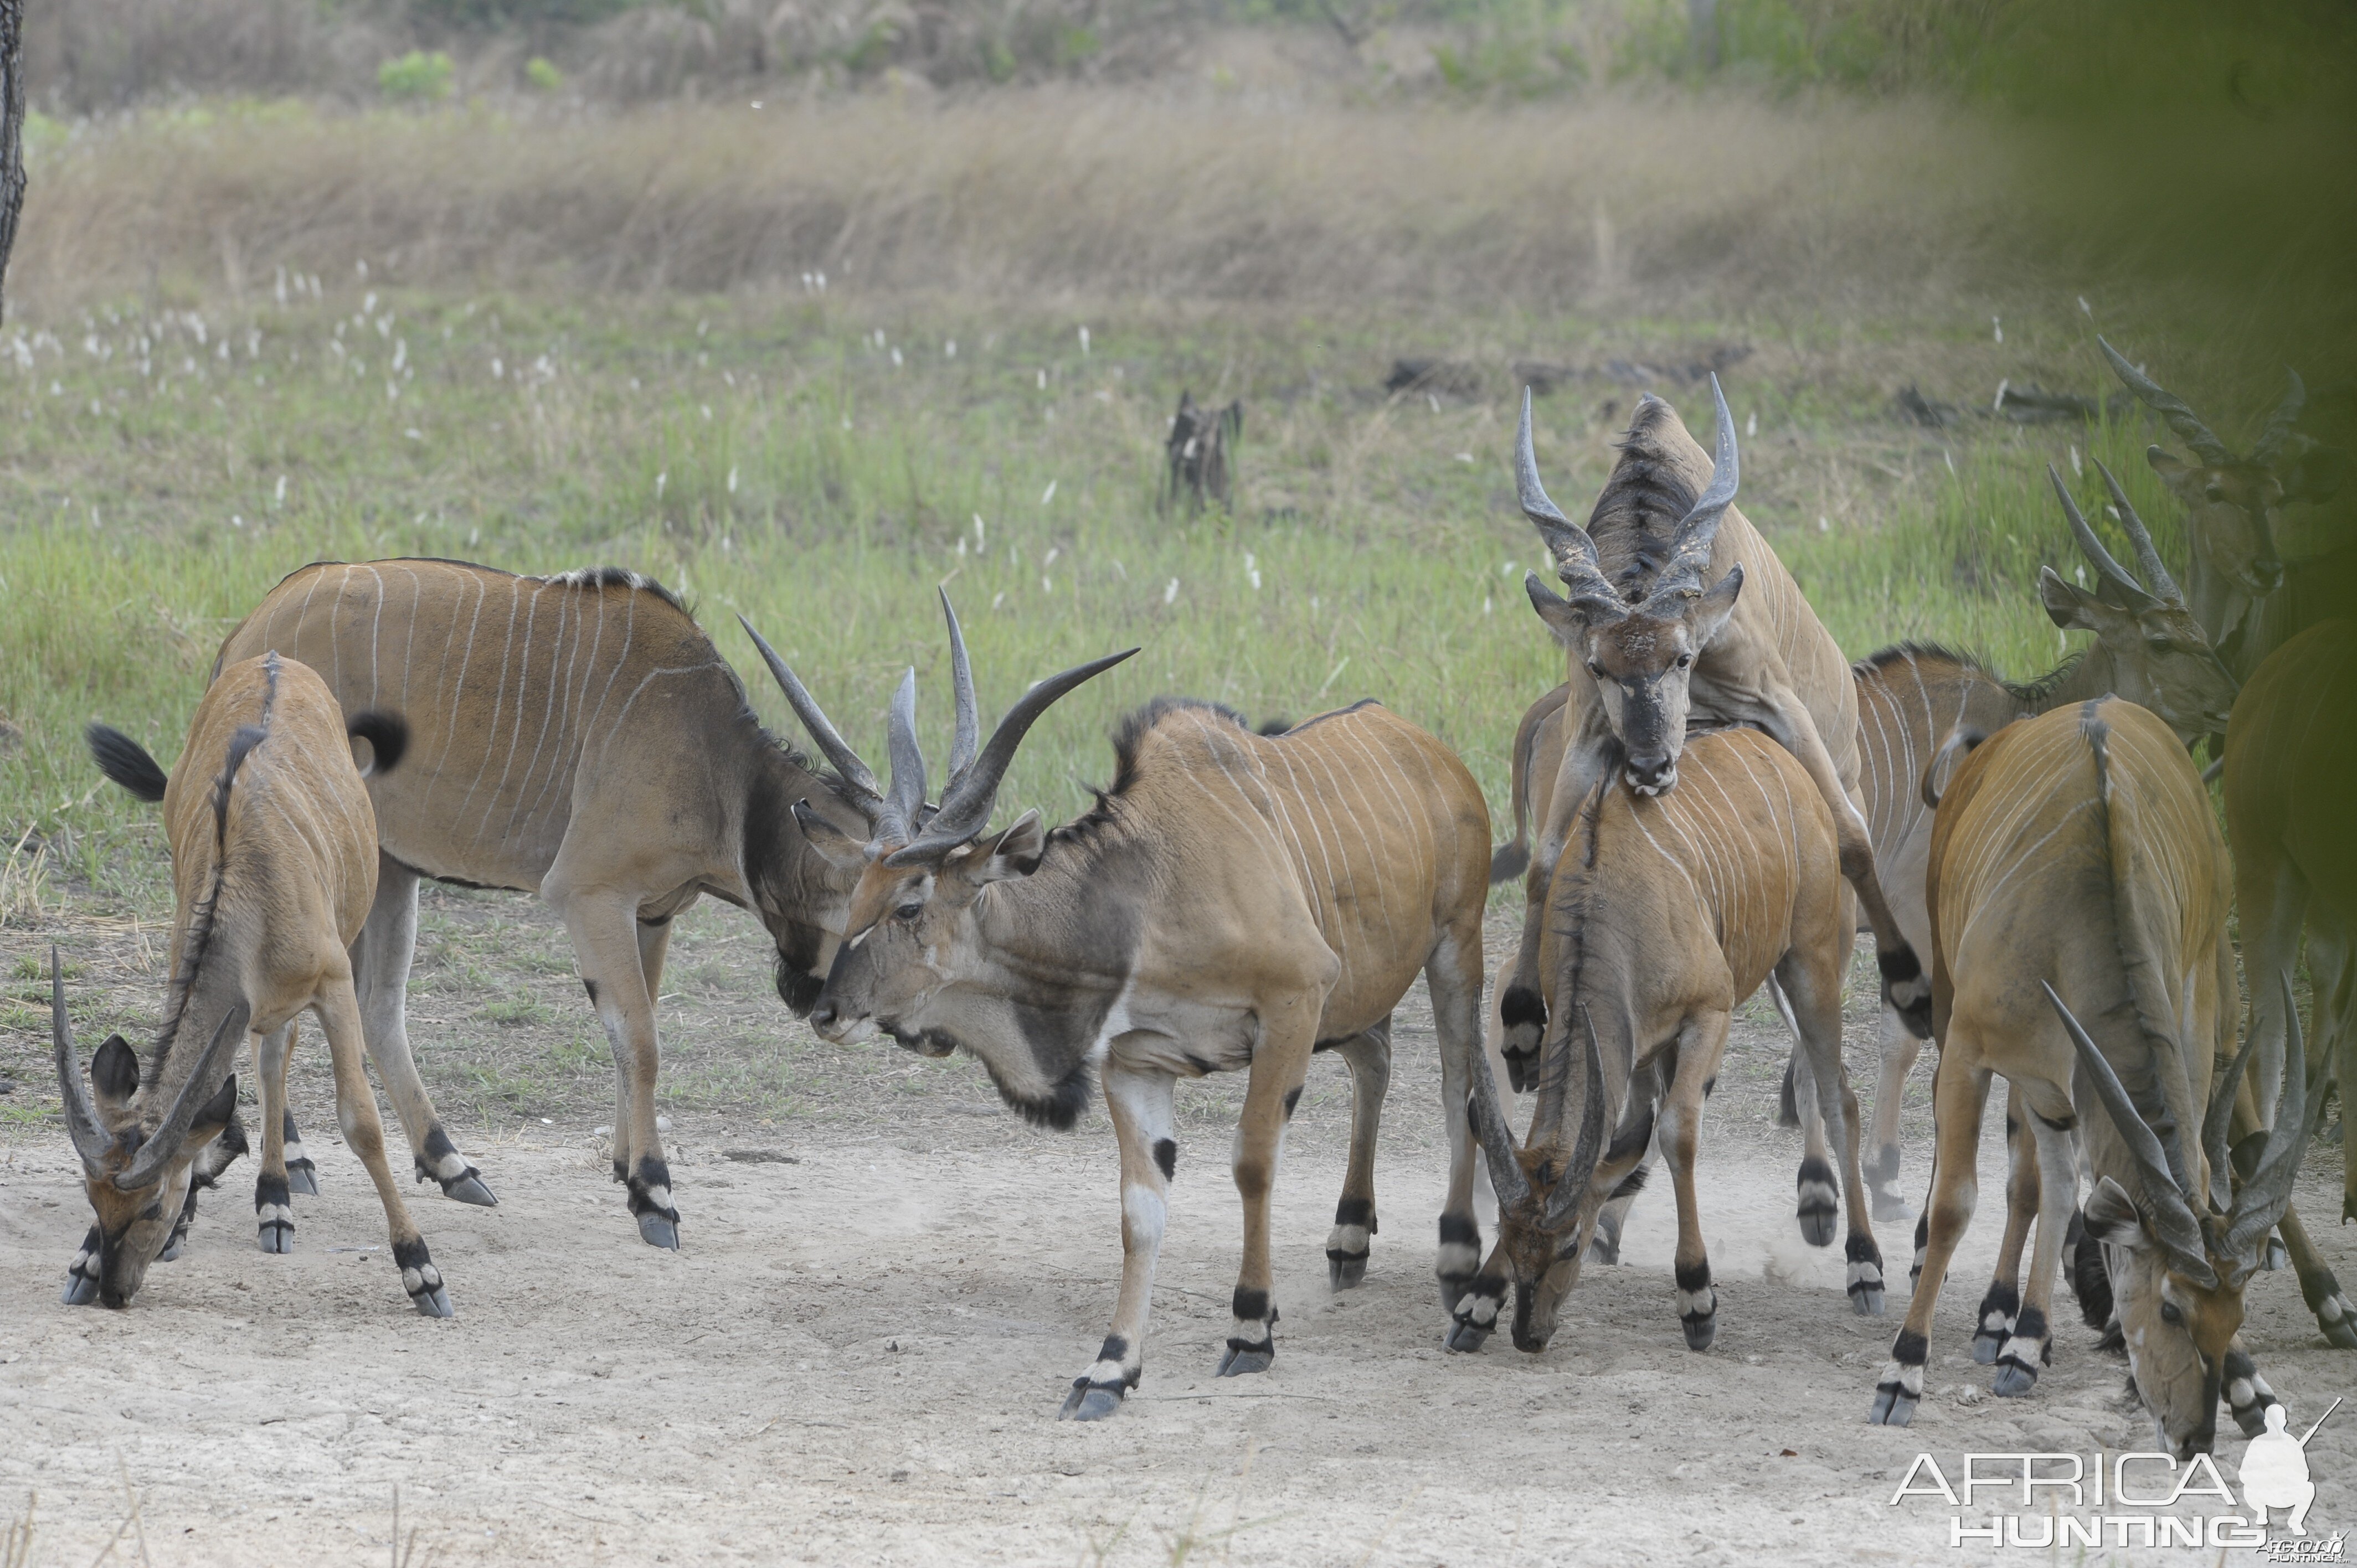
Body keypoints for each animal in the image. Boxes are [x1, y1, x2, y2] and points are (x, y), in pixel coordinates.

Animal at [58, 655, 459, 1311]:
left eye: (151, 1206)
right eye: (94, 1200)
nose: (114, 1291)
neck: (248, 876)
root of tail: (274, 660)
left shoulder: (334, 984)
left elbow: (361, 1124)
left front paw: (421, 1270)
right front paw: (87, 1262)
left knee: (276, 1060)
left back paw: (277, 1201)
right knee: (268, 1060)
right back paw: (272, 1199)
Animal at [212, 563, 886, 1245]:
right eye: (892, 911)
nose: (852, 1017)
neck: (717, 764)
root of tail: (252, 630)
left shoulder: (652, 912)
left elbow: (632, 1031)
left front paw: (625, 1167)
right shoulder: (590, 894)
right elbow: (640, 1041)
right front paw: (654, 1193)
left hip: (389, 870)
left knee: (374, 1010)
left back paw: (446, 1163)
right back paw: (295, 1166)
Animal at [787, 599, 1489, 1415]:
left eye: (909, 905)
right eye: (854, 900)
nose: (827, 1013)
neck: (1148, 894)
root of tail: (1431, 750)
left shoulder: (1294, 1001)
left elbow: (1253, 1164)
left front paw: (1251, 1329)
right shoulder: (1135, 1063)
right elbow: (1140, 1211)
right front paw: (1111, 1368)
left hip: (1452, 952)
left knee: (1457, 1085)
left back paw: (1460, 1262)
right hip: (1357, 996)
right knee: (1375, 1060)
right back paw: (1349, 1236)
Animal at [1452, 726, 1876, 1348]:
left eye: (1569, 1244)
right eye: (1504, 1235)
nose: (1529, 1334)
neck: (1606, 911)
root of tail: (1773, 750)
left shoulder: (1709, 1012)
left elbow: (1676, 1132)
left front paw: (1696, 1298)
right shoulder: (1630, 1043)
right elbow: (1623, 1139)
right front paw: (1477, 1302)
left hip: (1811, 963)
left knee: (1838, 1096)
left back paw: (1865, 1266)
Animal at [1876, 698, 2319, 1452]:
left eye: (2234, 1315)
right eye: (2169, 1310)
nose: (2193, 1438)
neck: (2078, 908)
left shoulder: (2149, 1054)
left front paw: (2249, 1386)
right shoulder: (1968, 1049)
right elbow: (1955, 1204)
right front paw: (1902, 1373)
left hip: (2075, 1077)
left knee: (2049, 1185)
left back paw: (2024, 1337)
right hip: (1955, 1016)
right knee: (2012, 1176)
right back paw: (1990, 1320)